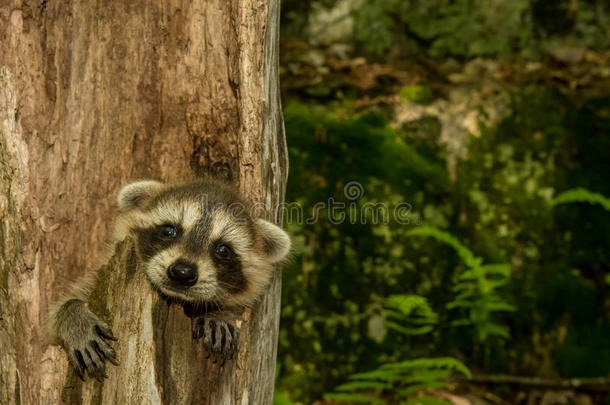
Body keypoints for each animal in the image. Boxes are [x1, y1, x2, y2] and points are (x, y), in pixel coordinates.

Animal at [47, 177, 290, 378]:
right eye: (169, 230)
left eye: (223, 250)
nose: (183, 272)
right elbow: (53, 323)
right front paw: (73, 315)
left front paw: (219, 314)